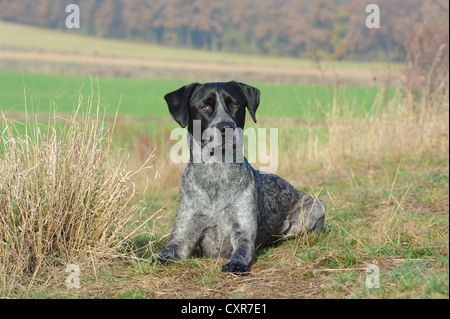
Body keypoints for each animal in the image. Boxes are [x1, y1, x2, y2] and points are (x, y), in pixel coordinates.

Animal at [156, 82, 326, 276]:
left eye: (234, 104)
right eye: (205, 106)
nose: (227, 127)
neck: (216, 173)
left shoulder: (242, 232)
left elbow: (242, 250)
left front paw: (236, 264)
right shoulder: (182, 236)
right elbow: (166, 251)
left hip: (316, 206)